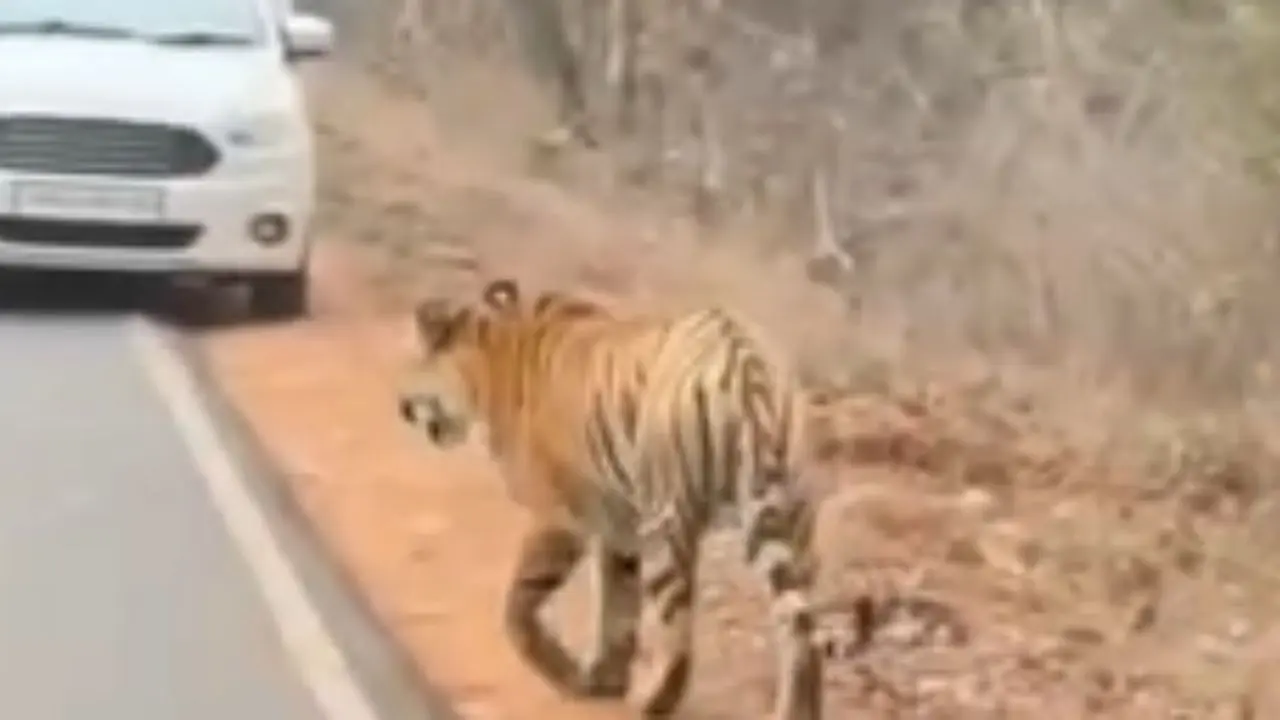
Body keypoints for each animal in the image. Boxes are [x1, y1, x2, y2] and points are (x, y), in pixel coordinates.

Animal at [396, 278, 824, 719]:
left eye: (420, 361)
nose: (402, 407)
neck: (497, 357)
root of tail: (746, 364)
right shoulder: (619, 526)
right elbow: (618, 606)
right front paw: (604, 678)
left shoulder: (560, 519)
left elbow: (520, 607)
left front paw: (566, 673)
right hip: (790, 519)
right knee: (801, 625)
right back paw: (797, 711)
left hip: (666, 521)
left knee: (679, 633)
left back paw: (654, 702)